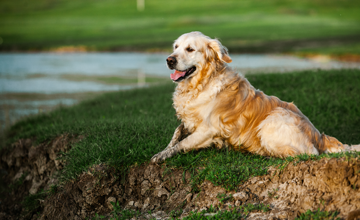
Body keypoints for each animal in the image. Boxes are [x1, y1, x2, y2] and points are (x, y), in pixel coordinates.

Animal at [150, 31, 358, 163]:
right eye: (175, 47)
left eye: (190, 49)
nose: (169, 60)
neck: (202, 83)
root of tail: (319, 136)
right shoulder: (189, 121)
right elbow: (176, 132)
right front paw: (163, 150)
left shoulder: (209, 129)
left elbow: (183, 143)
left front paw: (162, 156)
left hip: (272, 120)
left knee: (308, 154)